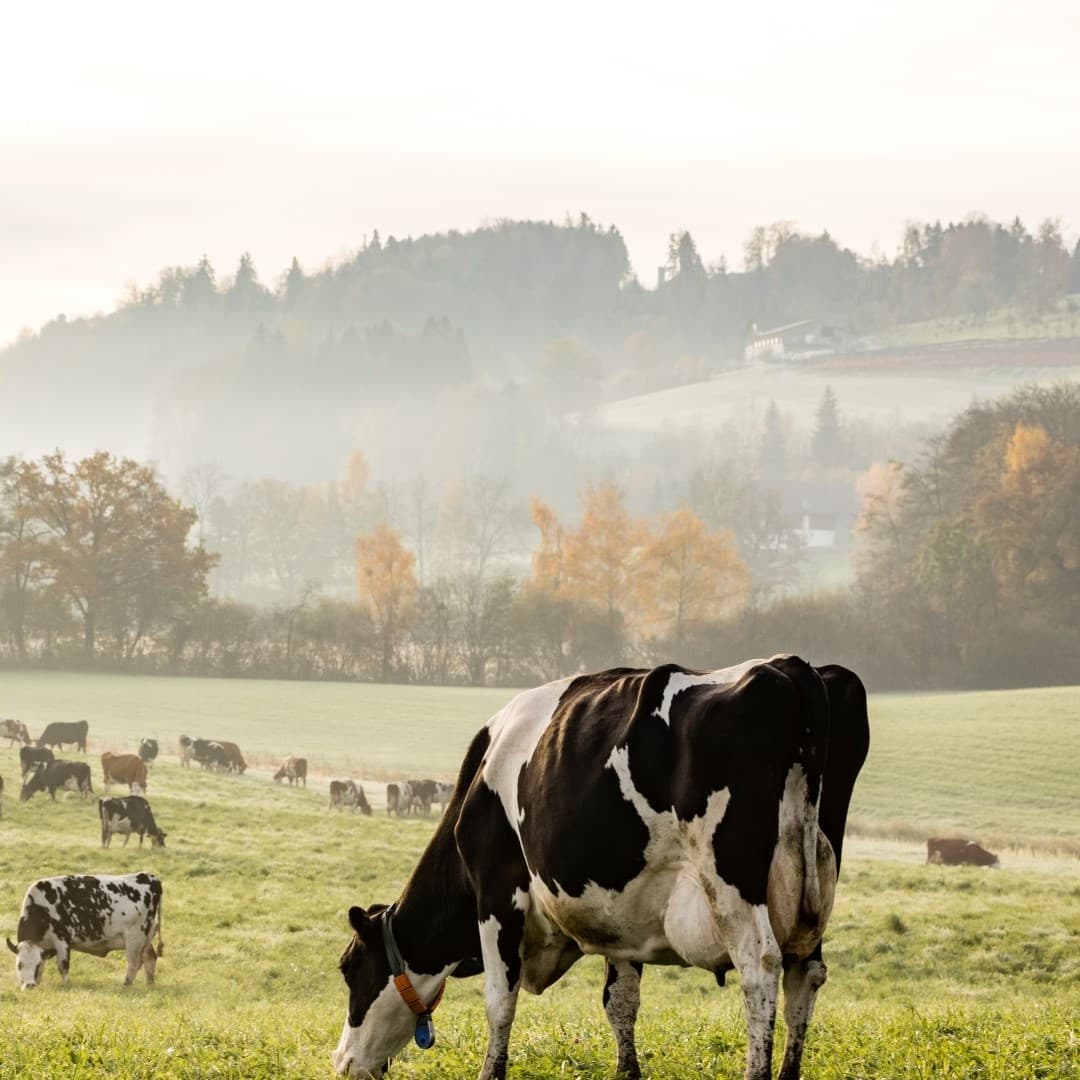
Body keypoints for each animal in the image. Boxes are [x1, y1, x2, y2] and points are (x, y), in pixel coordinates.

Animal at [7, 868, 163, 989]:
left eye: (36, 964)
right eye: (19, 965)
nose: (29, 986)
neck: (42, 907)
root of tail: (148, 876)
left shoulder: (62, 940)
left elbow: (62, 965)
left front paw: (66, 986)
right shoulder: (43, 945)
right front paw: (38, 984)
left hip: (135, 937)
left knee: (133, 963)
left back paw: (126, 985)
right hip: (147, 937)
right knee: (150, 958)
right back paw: (149, 984)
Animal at [332, 652, 872, 1080]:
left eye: (347, 968)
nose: (342, 1061)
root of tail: (790, 666)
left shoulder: (497, 892)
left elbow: (499, 1000)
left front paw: (490, 1072)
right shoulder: (624, 913)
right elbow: (620, 1002)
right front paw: (627, 1071)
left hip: (733, 881)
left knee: (760, 967)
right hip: (814, 887)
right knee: (806, 974)